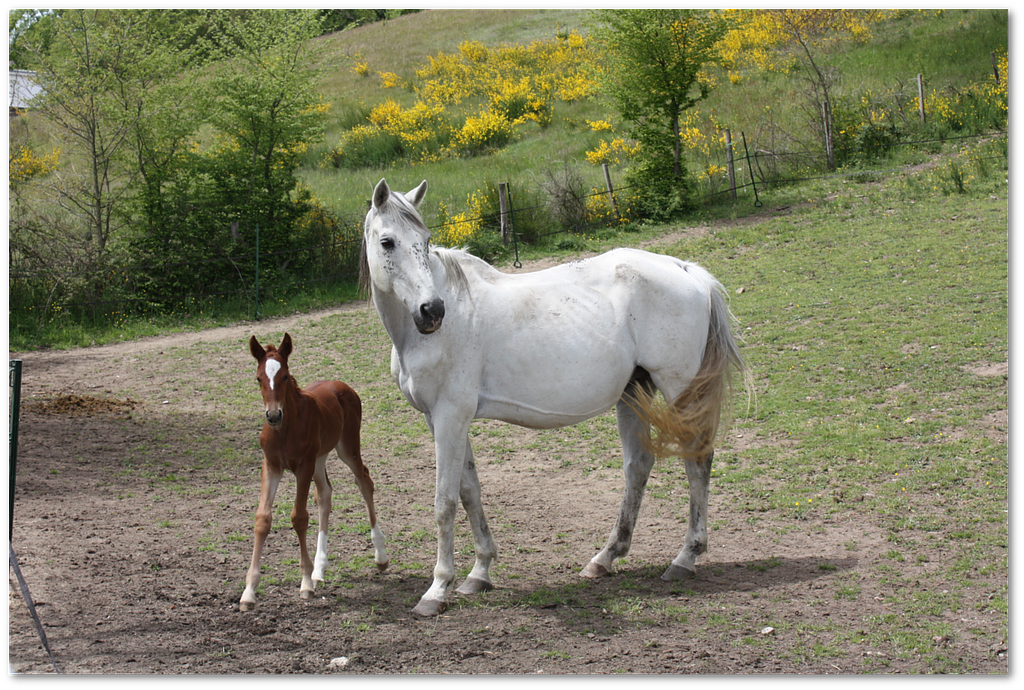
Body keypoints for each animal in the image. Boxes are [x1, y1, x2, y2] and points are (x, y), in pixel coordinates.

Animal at [240, 332, 388, 611]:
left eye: (285, 376)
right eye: (258, 378)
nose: (273, 415)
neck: (285, 429)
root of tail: (342, 385)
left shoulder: (303, 466)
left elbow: (299, 517)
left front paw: (306, 583)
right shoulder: (271, 465)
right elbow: (262, 519)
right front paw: (249, 592)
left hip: (346, 448)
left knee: (364, 481)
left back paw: (380, 556)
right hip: (320, 458)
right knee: (325, 494)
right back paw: (320, 569)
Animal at [360, 178, 747, 617]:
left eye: (425, 241)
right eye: (387, 242)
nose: (432, 311)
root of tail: (686, 270)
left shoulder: (449, 417)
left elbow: (445, 502)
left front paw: (437, 589)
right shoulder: (443, 419)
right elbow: (469, 491)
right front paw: (480, 572)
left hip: (679, 388)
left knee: (697, 460)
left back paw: (684, 558)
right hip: (634, 392)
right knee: (638, 466)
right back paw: (605, 558)